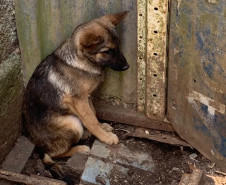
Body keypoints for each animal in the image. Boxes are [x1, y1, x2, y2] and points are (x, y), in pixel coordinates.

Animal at [23, 11, 129, 165]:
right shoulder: (79, 100)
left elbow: (93, 114)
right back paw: (80, 148)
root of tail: (38, 146)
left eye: (119, 46)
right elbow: (91, 120)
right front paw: (105, 136)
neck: (80, 60)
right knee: (55, 154)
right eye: (107, 51)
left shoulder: (86, 97)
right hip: (73, 123)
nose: (127, 67)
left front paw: (102, 127)